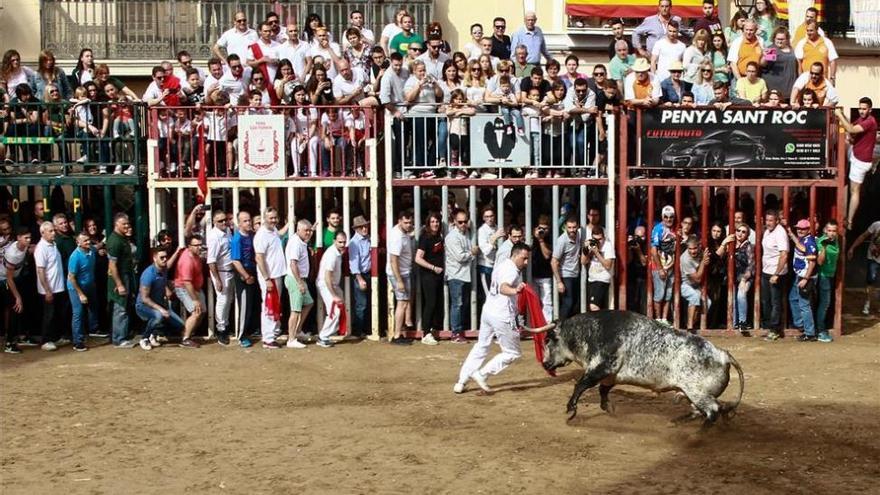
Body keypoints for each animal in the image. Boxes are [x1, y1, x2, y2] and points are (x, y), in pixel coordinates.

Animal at [528, 312, 744, 428]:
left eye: (548, 340)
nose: (545, 364)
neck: (590, 331)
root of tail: (723, 354)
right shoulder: (611, 375)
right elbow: (602, 391)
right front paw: (609, 408)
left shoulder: (601, 367)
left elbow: (581, 385)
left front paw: (570, 409)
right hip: (694, 395)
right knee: (703, 411)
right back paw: (678, 421)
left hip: (697, 392)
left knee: (712, 411)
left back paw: (700, 433)